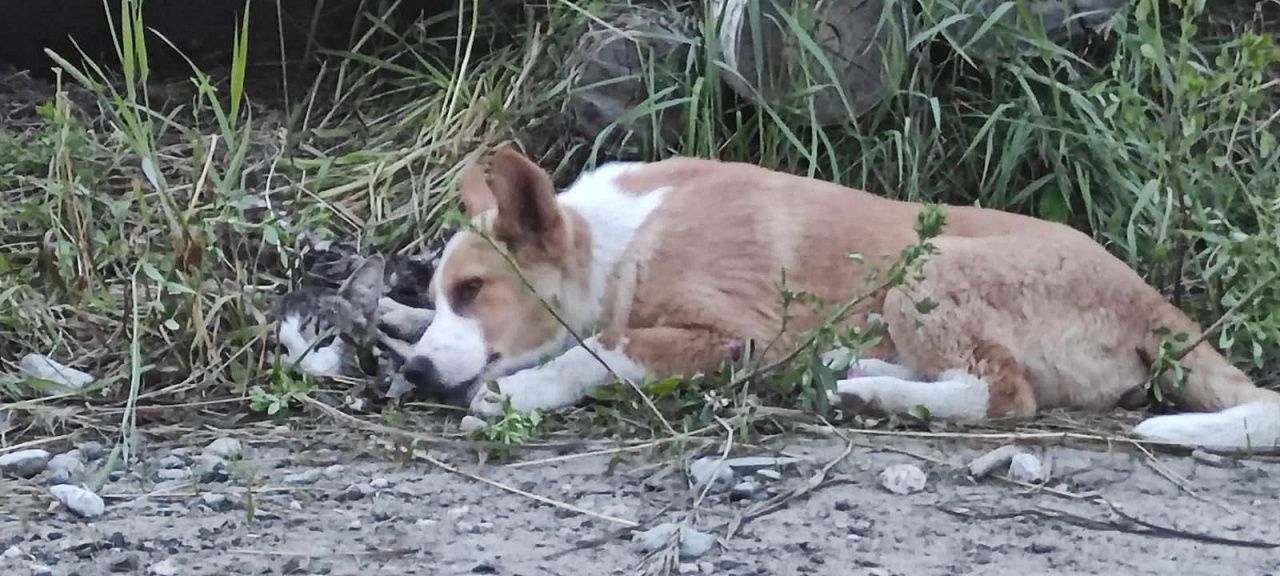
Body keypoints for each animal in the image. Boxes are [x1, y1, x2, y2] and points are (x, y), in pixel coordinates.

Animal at [396, 145, 1280, 450]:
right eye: (445, 291)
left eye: (475, 290)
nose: (413, 377)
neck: (619, 242)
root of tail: (1155, 303)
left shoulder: (738, 335)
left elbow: (601, 350)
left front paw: (520, 392)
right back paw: (858, 380)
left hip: (929, 270)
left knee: (1004, 392)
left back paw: (869, 392)